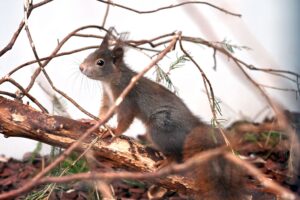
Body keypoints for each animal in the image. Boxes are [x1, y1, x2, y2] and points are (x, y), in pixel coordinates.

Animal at [78, 29, 247, 200]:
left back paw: (169, 160)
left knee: (178, 154)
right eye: (90, 54)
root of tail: (194, 125)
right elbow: (105, 112)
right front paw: (95, 123)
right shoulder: (109, 99)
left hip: (160, 127)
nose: (81, 67)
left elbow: (125, 120)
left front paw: (114, 132)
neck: (112, 80)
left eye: (100, 62)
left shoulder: (127, 99)